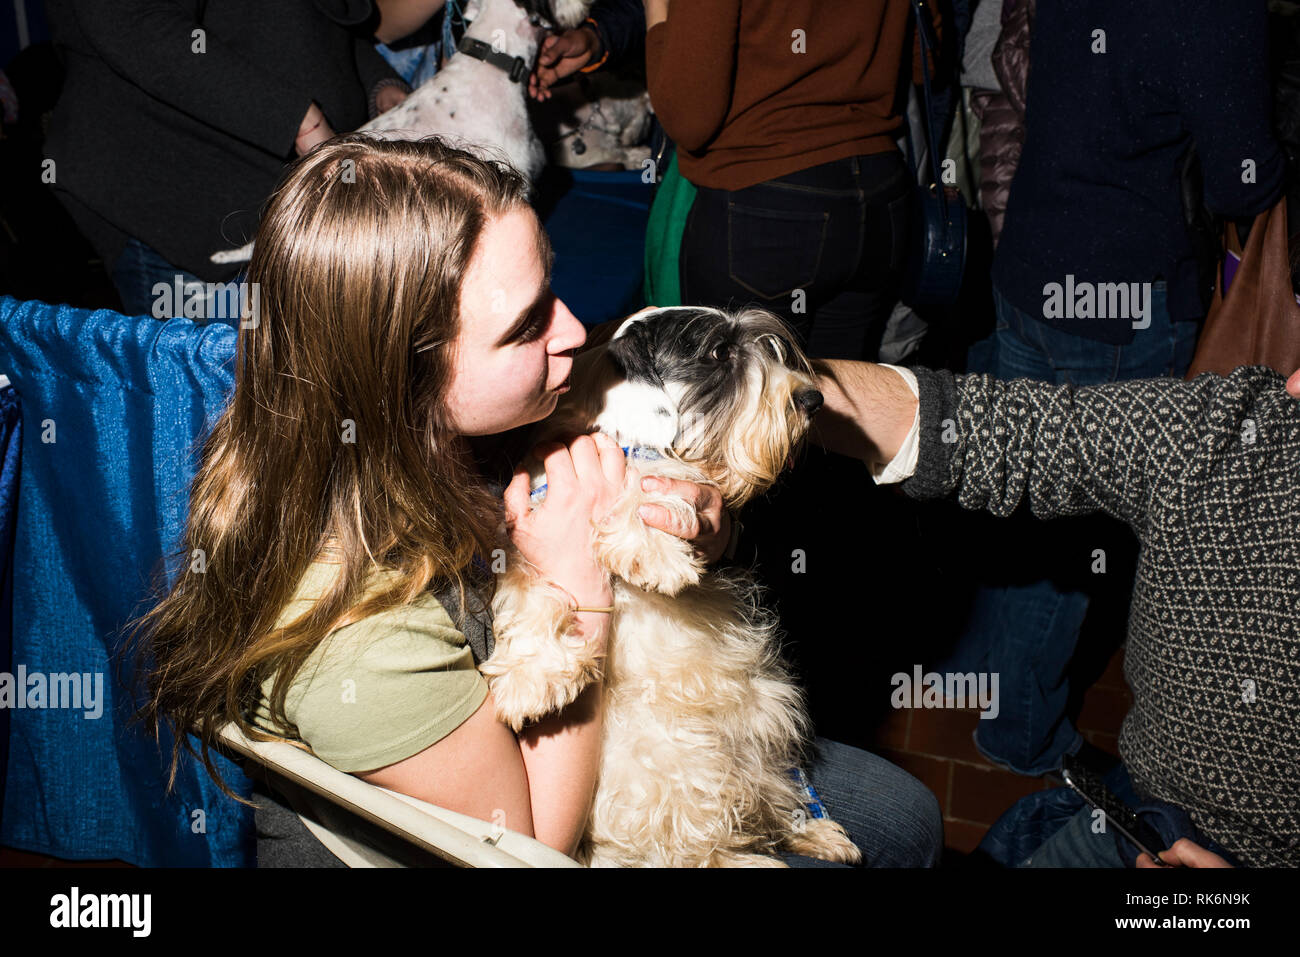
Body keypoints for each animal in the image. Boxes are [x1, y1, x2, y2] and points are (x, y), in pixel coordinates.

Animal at [478, 308, 863, 868]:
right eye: (719, 353)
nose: (812, 400)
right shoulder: (521, 535)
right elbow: (531, 593)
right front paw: (531, 677)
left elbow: (651, 481)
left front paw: (652, 546)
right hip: (671, 763)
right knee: (700, 840)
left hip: (761, 728)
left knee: (767, 802)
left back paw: (814, 831)